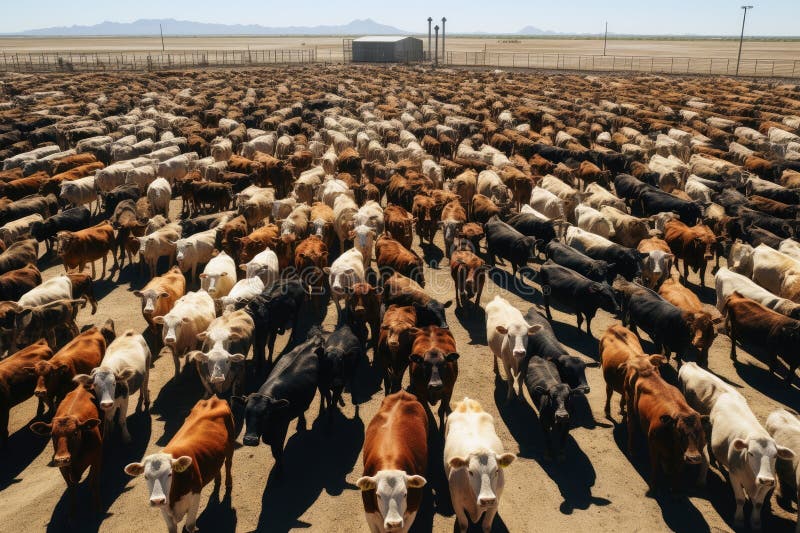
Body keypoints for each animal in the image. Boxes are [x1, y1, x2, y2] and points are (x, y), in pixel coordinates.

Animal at [29, 384, 102, 512]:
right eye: (52, 435)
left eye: (76, 432)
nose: (62, 459)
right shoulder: (62, 468)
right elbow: (71, 488)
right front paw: (72, 512)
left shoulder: (96, 458)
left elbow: (94, 483)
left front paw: (97, 507)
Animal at [123, 392, 233, 532]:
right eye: (146, 477)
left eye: (170, 474)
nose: (157, 500)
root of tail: (213, 399)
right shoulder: (165, 508)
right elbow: (171, 527)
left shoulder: (195, 496)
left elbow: (190, 525)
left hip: (230, 446)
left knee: (228, 464)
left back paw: (228, 483)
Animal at [238, 328, 324, 470]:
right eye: (245, 412)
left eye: (266, 414)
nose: (250, 440)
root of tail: (313, 340)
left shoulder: (281, 430)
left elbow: (277, 452)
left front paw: (279, 469)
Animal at [358, 390, 428, 532]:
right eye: (378, 495)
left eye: (405, 494)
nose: (394, 523)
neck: (389, 462)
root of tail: (403, 394)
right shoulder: (370, 514)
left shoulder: (411, 512)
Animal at [440, 396, 516, 532]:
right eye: (470, 472)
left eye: (497, 471)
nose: (487, 500)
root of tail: (467, 402)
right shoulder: (456, 501)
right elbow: (464, 524)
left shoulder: (496, 502)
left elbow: (486, 526)